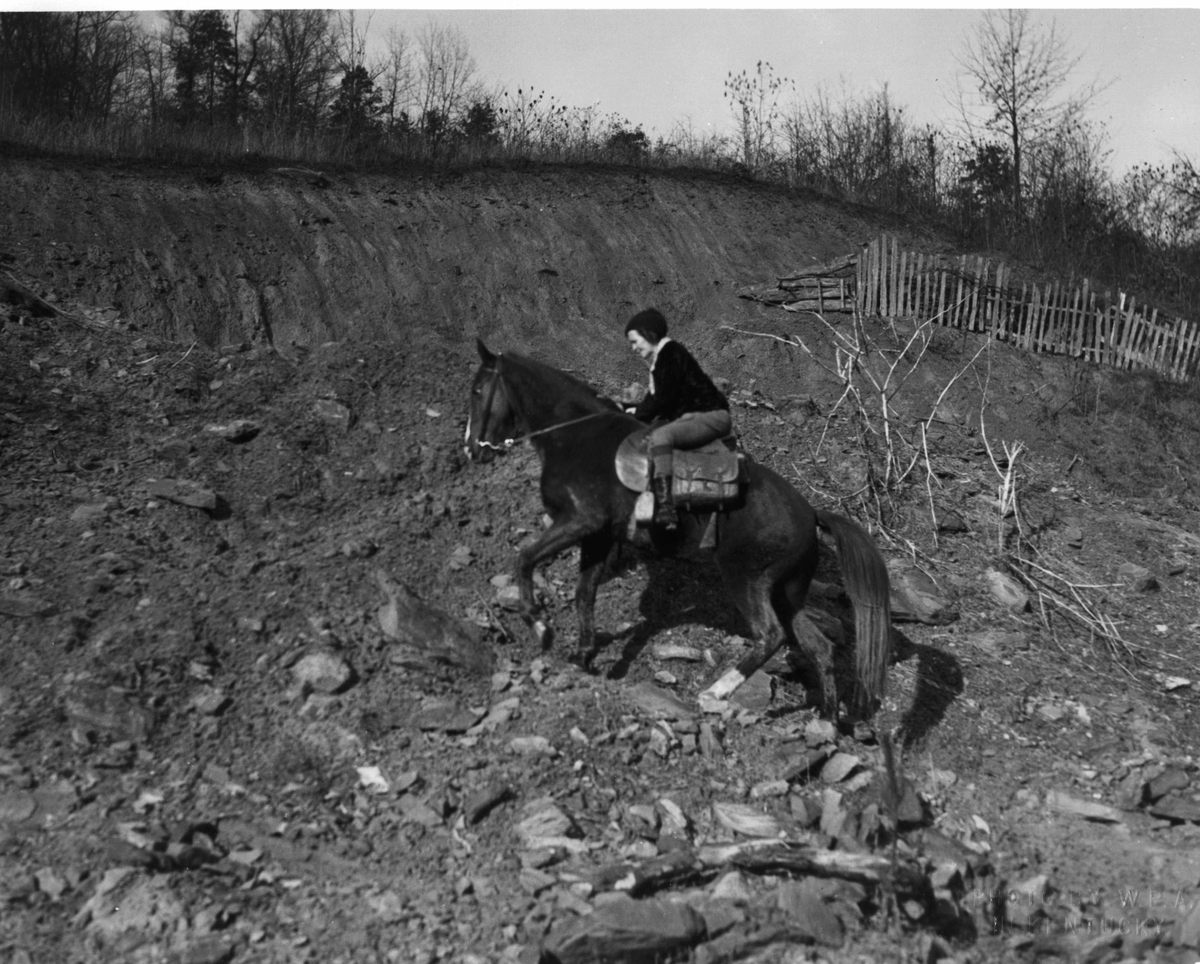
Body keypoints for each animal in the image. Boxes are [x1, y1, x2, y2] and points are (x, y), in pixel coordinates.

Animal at [463, 338, 897, 725]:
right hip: (787, 592)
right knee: (818, 647)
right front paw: (583, 655)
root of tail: (810, 514)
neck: (574, 435)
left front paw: (539, 626)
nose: (471, 450)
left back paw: (715, 691)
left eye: (479, 389)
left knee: (770, 636)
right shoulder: (598, 536)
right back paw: (827, 718)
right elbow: (584, 592)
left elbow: (525, 558)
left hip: (748, 580)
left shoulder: (580, 521)